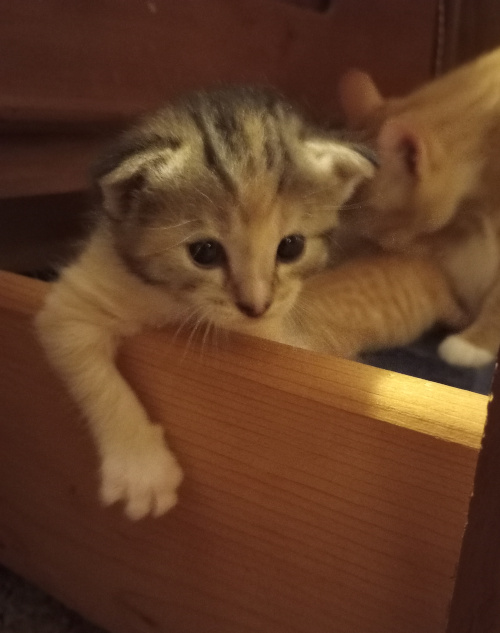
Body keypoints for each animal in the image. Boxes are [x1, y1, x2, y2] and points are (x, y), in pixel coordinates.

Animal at [37, 85, 374, 520]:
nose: (256, 306)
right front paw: (141, 470)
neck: (178, 302)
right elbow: (97, 377)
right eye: (205, 253)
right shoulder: (74, 303)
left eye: (291, 246)